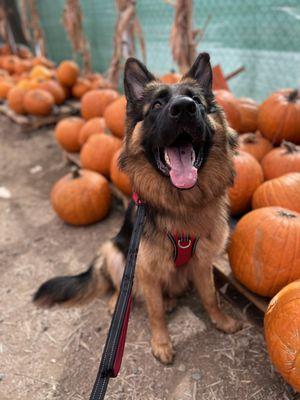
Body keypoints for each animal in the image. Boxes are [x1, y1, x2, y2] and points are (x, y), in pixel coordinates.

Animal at [34, 54, 243, 366]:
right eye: (156, 105)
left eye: (196, 100)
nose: (184, 109)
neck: (180, 205)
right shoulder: (145, 270)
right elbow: (154, 312)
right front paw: (161, 343)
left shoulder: (203, 263)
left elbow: (210, 297)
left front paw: (222, 321)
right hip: (113, 251)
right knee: (123, 290)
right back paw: (116, 304)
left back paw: (171, 301)